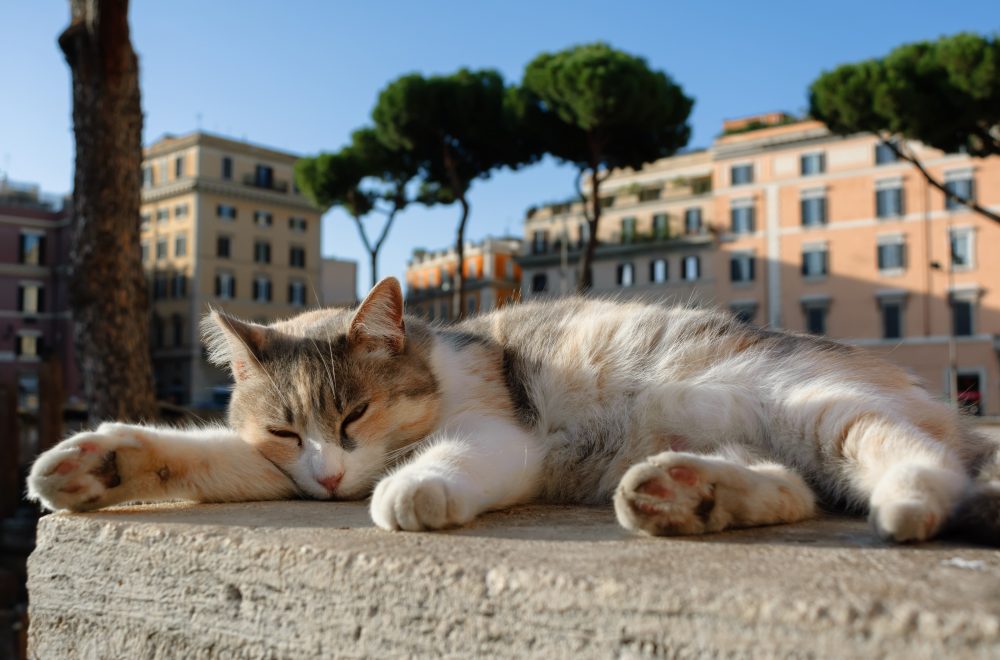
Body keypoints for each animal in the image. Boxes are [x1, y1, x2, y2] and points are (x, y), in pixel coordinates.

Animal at [23, 276, 1000, 544]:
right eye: (286, 429)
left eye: (356, 415)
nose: (332, 479)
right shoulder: (274, 467)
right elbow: (200, 453)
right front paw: (94, 464)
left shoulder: (502, 433)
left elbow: (451, 458)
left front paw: (413, 491)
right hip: (775, 444)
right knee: (790, 491)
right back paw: (685, 495)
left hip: (820, 407)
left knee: (918, 460)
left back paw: (908, 503)